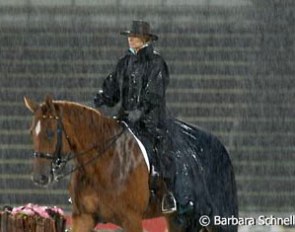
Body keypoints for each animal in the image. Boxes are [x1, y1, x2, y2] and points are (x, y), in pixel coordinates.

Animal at [24, 95, 238, 231]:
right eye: (32, 132)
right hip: (179, 220)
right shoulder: (83, 218)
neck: (103, 165)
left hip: (217, 220)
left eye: (50, 133)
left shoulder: (132, 219)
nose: (40, 177)